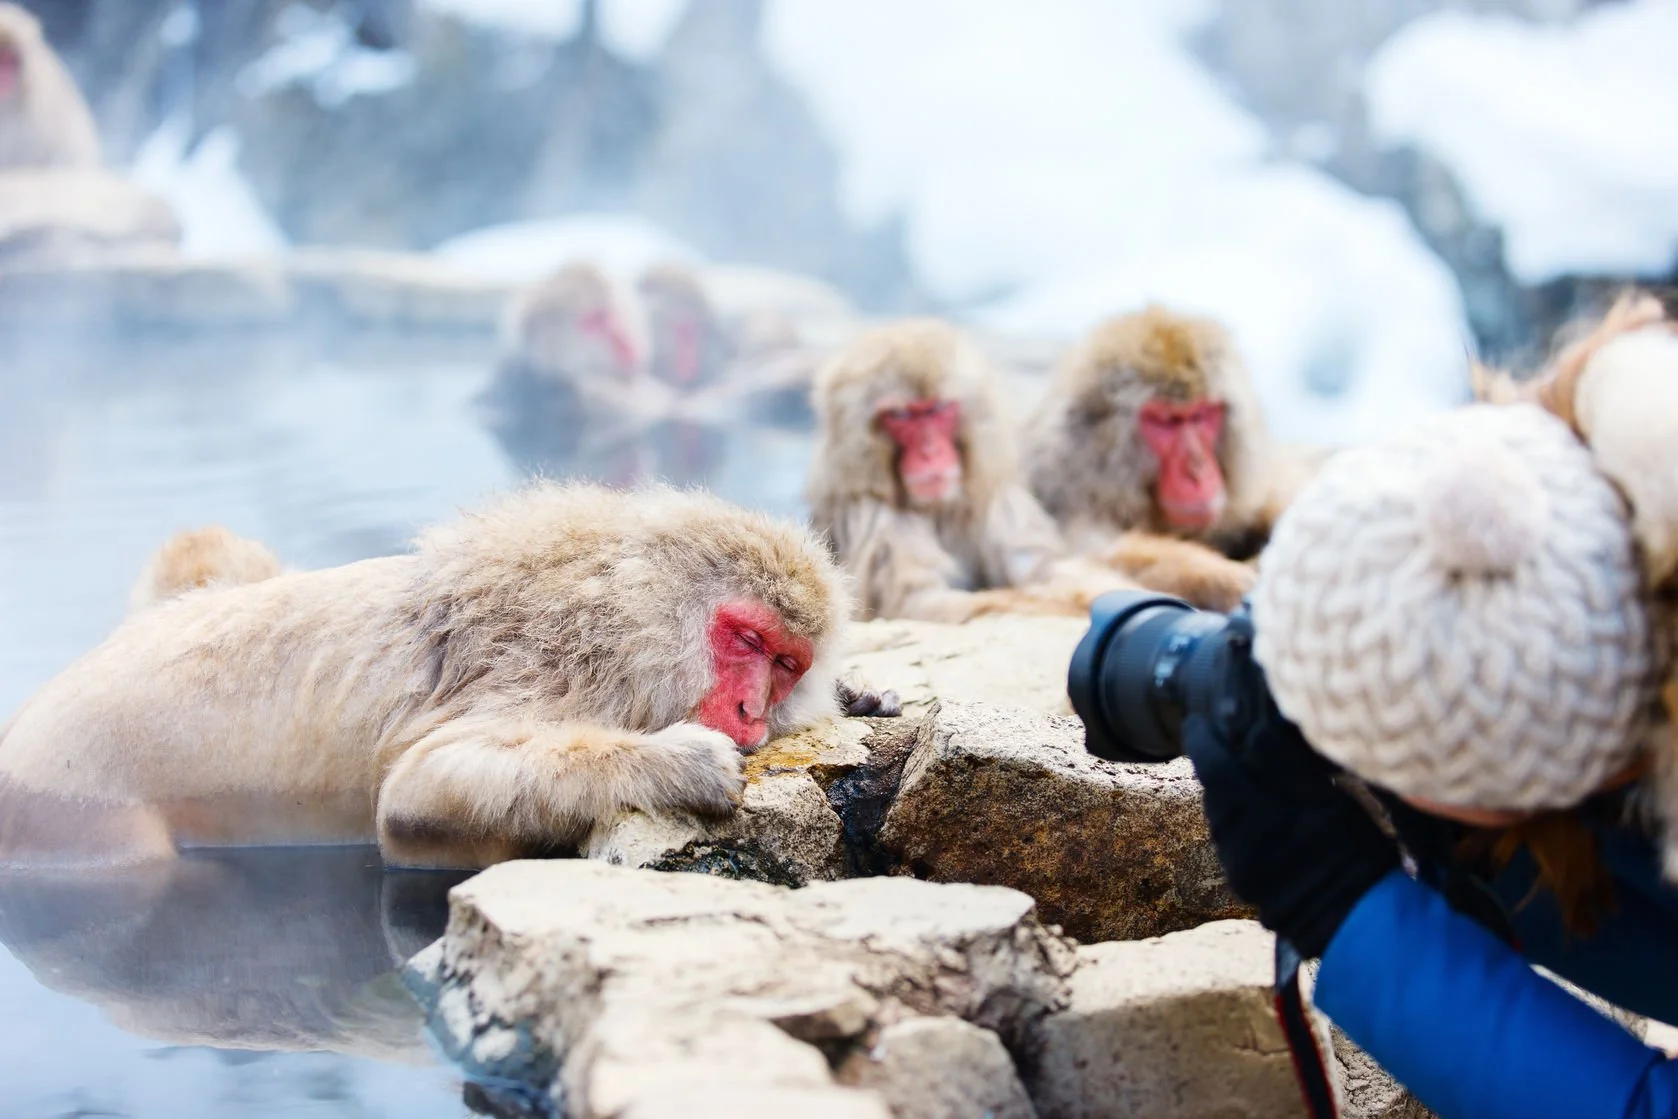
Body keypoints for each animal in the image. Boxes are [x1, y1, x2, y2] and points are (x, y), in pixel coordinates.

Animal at [806, 318, 1138, 624]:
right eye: (900, 415)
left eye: (938, 409)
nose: (930, 452)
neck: (937, 508)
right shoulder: (872, 513)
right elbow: (917, 601)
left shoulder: (993, 494)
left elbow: (1043, 565)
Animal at [1022, 305, 1290, 611]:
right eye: (1167, 421)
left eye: (1201, 415)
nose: (1197, 469)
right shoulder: (1065, 505)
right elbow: (1078, 563)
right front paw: (1230, 581)